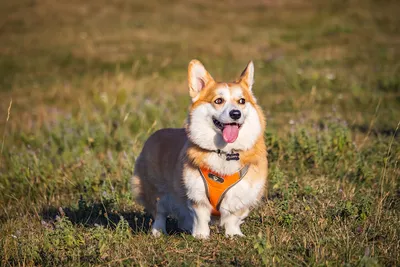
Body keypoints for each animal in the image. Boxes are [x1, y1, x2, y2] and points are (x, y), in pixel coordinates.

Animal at [133, 60, 268, 239]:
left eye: (242, 101)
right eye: (218, 101)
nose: (235, 114)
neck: (224, 153)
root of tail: (155, 133)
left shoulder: (242, 193)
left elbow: (233, 217)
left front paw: (233, 234)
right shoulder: (196, 194)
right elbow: (201, 217)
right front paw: (201, 236)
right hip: (156, 190)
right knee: (159, 212)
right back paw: (159, 231)